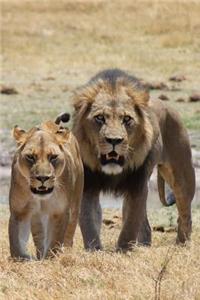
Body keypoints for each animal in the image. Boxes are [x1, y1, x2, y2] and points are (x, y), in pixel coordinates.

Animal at [8, 115, 83, 260]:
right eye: (30, 157)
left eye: (53, 157)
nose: (43, 178)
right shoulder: (19, 211)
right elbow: (16, 243)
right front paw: (23, 259)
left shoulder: (60, 211)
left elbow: (55, 240)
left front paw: (50, 259)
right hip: (37, 216)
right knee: (39, 235)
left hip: (76, 204)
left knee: (69, 233)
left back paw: (66, 252)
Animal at [70, 68, 195, 251]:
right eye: (100, 118)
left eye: (127, 119)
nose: (114, 140)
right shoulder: (89, 186)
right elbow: (89, 221)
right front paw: (94, 250)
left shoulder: (137, 185)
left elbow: (130, 224)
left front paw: (123, 250)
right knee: (147, 227)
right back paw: (144, 246)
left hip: (182, 176)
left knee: (185, 214)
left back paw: (181, 245)